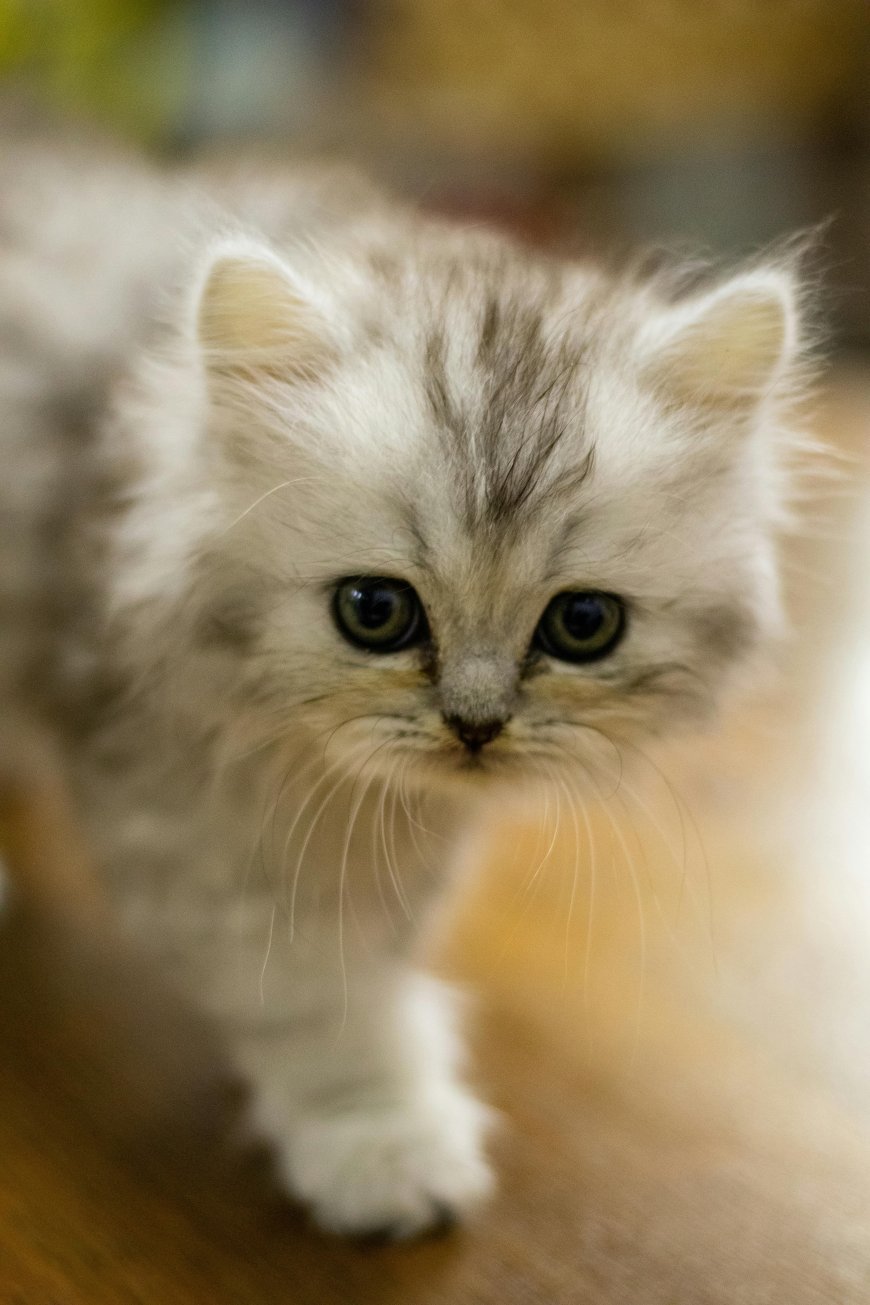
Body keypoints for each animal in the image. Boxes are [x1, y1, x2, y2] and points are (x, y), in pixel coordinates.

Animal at [0, 137, 808, 1237]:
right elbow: (319, 1000)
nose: (475, 724)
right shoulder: (195, 820)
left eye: (583, 626)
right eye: (375, 611)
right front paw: (381, 1141)